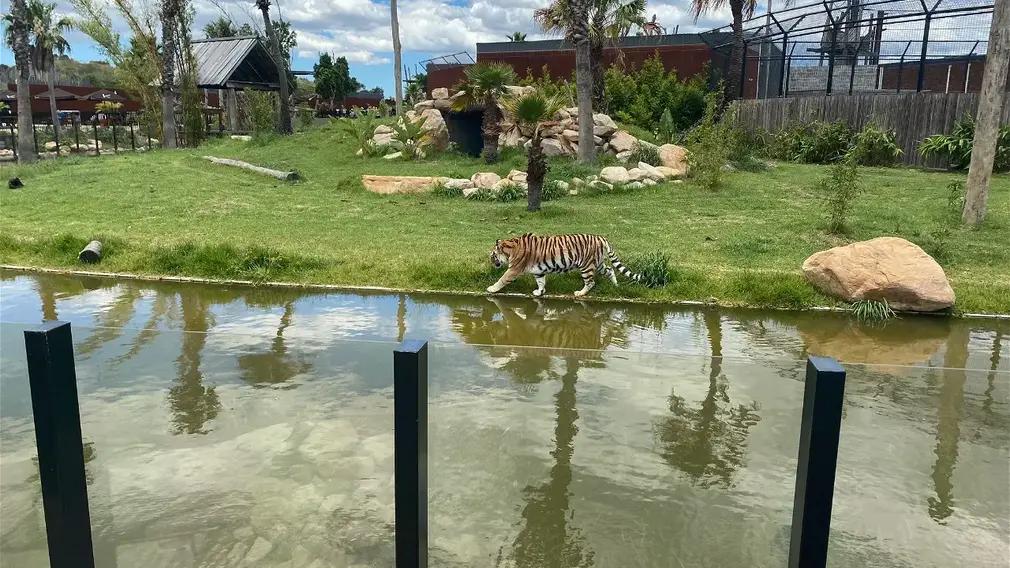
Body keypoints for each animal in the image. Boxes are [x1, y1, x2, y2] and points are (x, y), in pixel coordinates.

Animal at [487, 233, 644, 297]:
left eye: (493, 255)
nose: (491, 262)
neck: (511, 247)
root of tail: (601, 238)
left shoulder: (514, 269)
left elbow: (502, 279)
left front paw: (491, 289)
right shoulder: (538, 270)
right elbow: (541, 281)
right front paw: (540, 292)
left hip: (586, 266)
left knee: (591, 282)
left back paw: (580, 293)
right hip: (598, 263)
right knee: (610, 270)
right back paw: (615, 286)